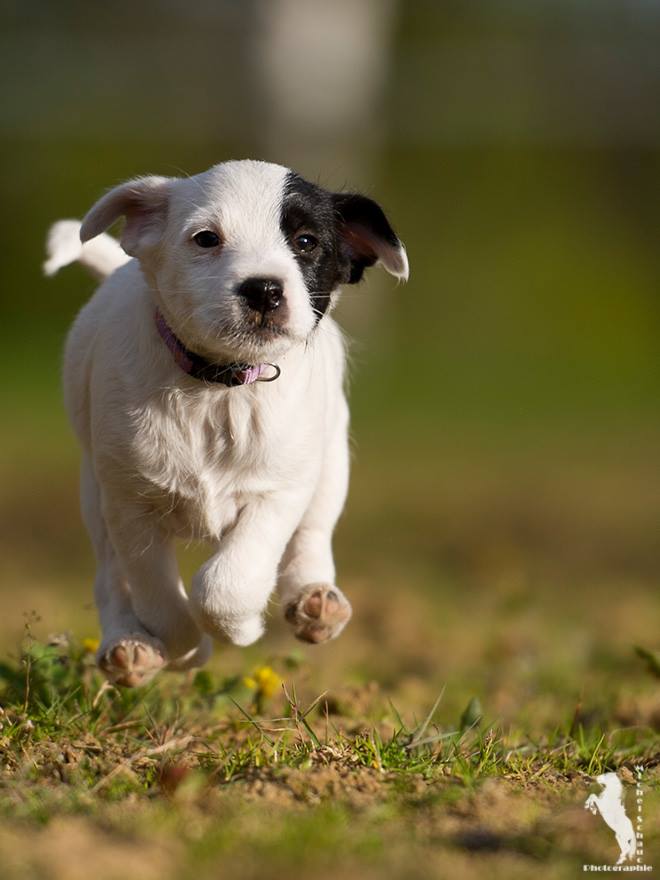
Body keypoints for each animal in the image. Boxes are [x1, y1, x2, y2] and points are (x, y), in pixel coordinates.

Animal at [45, 163, 408, 688]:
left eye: (305, 241)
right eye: (206, 239)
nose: (264, 289)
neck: (220, 388)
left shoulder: (279, 493)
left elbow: (225, 584)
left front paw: (240, 627)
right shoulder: (131, 506)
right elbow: (159, 597)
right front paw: (187, 650)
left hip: (332, 460)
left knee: (313, 533)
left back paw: (316, 601)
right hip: (95, 494)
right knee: (110, 578)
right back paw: (128, 645)